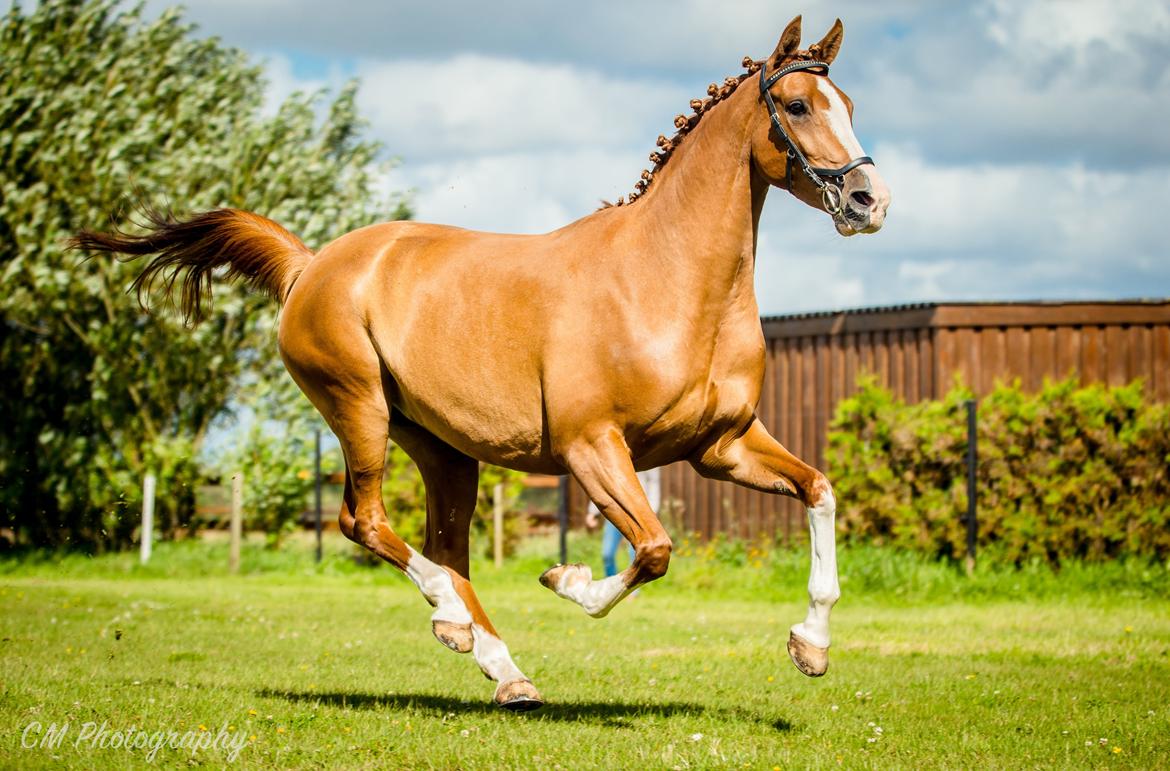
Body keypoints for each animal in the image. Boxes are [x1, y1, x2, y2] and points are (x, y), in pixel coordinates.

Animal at [73, 13, 889, 711]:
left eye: (848, 102)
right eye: (797, 104)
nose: (869, 198)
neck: (668, 283)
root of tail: (310, 266)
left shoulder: (721, 446)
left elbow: (820, 490)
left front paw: (810, 644)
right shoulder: (593, 448)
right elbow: (654, 548)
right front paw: (566, 580)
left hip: (443, 450)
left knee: (445, 544)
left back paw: (498, 664)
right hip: (359, 409)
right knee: (366, 522)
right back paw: (455, 619)